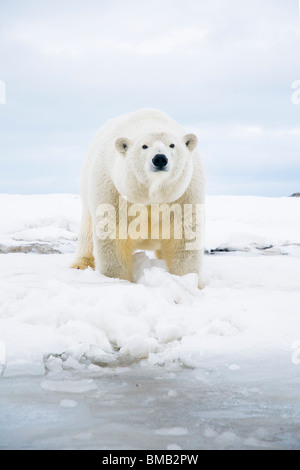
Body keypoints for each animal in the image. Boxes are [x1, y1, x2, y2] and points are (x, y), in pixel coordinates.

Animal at [71, 109, 205, 288]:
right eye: (144, 146)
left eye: (172, 145)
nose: (160, 158)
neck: (151, 196)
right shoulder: (114, 192)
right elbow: (114, 235)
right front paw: (116, 280)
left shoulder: (184, 196)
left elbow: (183, 236)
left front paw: (186, 281)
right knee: (87, 228)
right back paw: (80, 265)